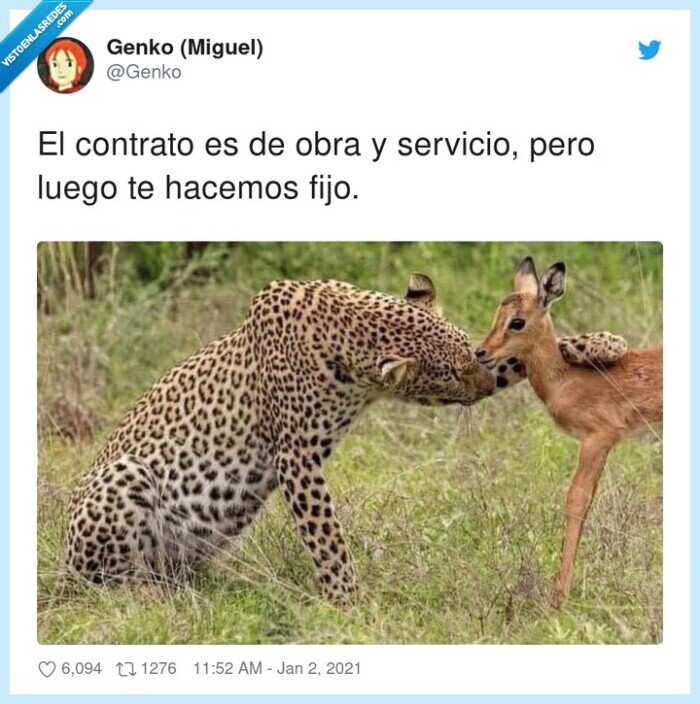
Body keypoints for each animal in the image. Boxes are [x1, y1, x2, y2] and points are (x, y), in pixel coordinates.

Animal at [63, 273, 628, 607]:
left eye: (471, 354)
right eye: (447, 375)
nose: (485, 384)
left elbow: (526, 355)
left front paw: (602, 343)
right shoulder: (296, 457)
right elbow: (328, 537)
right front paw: (352, 603)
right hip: (122, 479)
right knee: (108, 583)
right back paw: (146, 596)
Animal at [475, 257, 663, 607]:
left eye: (517, 321)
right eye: (497, 313)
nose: (480, 351)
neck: (564, 379)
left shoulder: (596, 439)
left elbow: (576, 501)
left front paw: (558, 595)